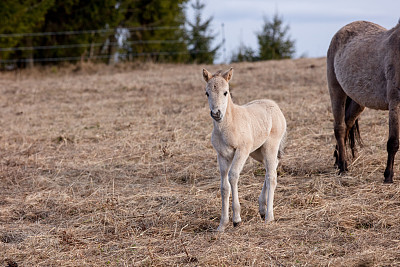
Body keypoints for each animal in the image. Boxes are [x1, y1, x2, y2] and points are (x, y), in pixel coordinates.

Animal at [203, 67, 288, 232]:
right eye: (207, 93)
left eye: (226, 92)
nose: (216, 113)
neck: (229, 124)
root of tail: (275, 106)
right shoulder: (222, 155)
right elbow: (224, 187)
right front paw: (222, 224)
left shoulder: (242, 150)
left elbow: (233, 176)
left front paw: (236, 219)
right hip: (257, 151)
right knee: (271, 168)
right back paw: (262, 208)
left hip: (270, 146)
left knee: (272, 176)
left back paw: (269, 217)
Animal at [328, 20, 400, 184]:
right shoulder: (395, 103)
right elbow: (393, 142)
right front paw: (388, 176)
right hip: (336, 90)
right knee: (339, 127)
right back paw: (343, 167)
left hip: (357, 101)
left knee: (347, 124)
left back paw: (337, 160)